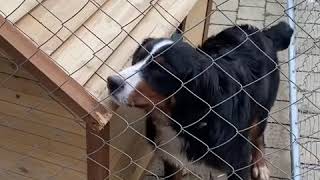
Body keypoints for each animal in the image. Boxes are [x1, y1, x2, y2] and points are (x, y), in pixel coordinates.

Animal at [107, 22, 292, 180]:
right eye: (137, 58)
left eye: (160, 69)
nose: (112, 82)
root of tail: (261, 33)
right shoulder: (170, 159)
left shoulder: (238, 164)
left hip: (261, 109)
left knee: (258, 135)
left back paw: (260, 164)